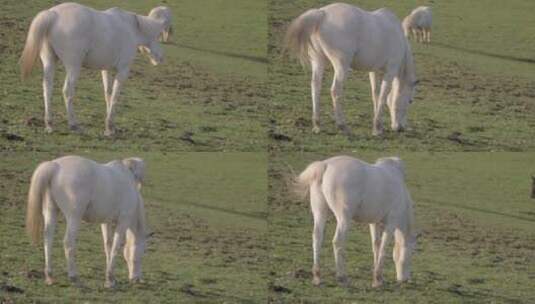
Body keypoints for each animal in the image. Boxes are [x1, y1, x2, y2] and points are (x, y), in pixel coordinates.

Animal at [21, 2, 166, 136]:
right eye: (158, 36)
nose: (161, 57)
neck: (131, 27)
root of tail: (53, 14)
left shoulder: (106, 70)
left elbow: (108, 94)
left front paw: (110, 127)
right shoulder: (123, 71)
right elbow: (115, 96)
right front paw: (110, 127)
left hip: (49, 62)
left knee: (47, 89)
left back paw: (49, 124)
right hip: (73, 67)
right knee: (67, 91)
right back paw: (74, 125)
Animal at [26, 154, 148, 288]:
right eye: (142, 254)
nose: (136, 279)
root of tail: (55, 166)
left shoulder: (105, 222)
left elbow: (108, 246)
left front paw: (109, 279)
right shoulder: (123, 222)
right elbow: (115, 247)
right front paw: (110, 279)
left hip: (51, 211)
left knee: (48, 239)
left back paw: (49, 276)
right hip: (74, 218)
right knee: (68, 243)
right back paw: (73, 277)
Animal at [284, 2, 418, 135]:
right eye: (410, 101)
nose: (400, 127)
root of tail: (322, 13)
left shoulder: (373, 71)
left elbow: (375, 94)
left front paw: (377, 126)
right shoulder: (390, 71)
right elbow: (383, 97)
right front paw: (377, 128)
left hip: (318, 62)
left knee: (315, 87)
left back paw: (317, 125)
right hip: (341, 66)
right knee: (335, 91)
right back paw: (342, 125)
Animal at [296, 157, 416, 288]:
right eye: (411, 255)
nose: (404, 280)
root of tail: (325, 165)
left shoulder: (374, 223)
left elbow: (376, 246)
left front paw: (376, 278)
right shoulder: (391, 224)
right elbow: (383, 248)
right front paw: (378, 278)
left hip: (320, 213)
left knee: (317, 238)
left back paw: (317, 276)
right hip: (344, 218)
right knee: (338, 242)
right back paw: (342, 277)